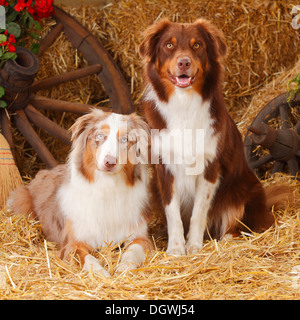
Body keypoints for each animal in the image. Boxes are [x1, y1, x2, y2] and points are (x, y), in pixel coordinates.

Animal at [6, 109, 152, 276]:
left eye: (124, 139)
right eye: (99, 136)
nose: (109, 162)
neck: (107, 186)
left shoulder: (140, 237)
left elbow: (133, 252)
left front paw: (124, 268)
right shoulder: (73, 243)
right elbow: (89, 260)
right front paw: (101, 275)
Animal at [139, 19, 288, 255]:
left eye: (197, 45)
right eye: (169, 45)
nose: (184, 63)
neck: (184, 103)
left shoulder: (210, 166)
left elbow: (199, 211)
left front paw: (193, 246)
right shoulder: (165, 168)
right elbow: (173, 213)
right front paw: (176, 248)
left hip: (241, 190)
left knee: (244, 223)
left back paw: (227, 238)